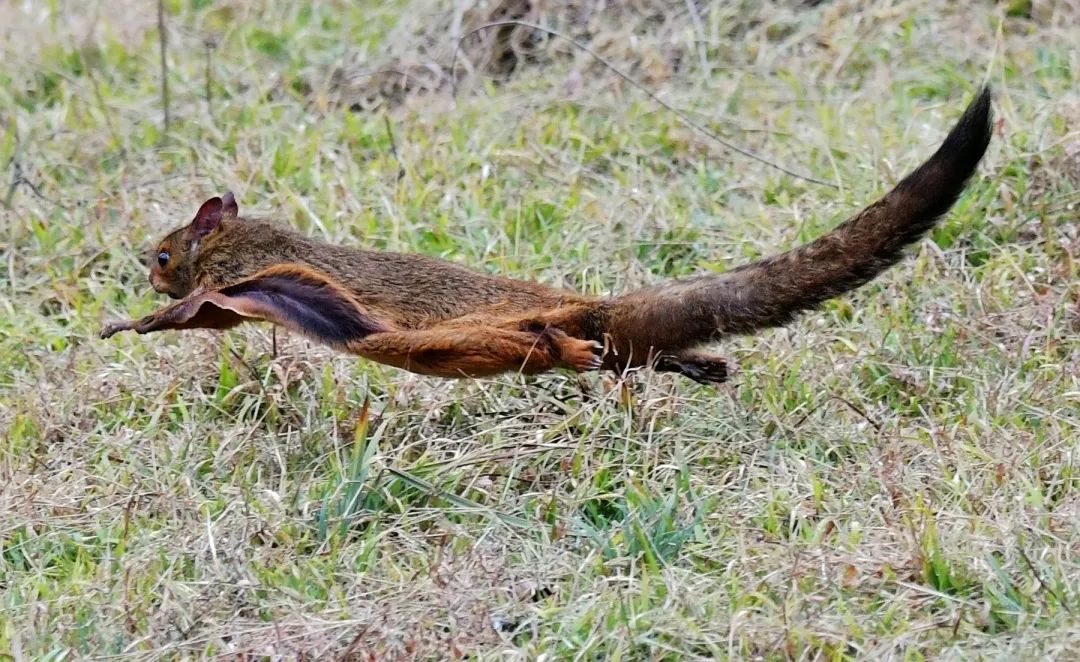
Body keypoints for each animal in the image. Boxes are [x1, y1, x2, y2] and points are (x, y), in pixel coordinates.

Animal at [103, 89, 993, 386]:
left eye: (161, 253)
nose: (144, 273)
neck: (237, 247)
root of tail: (581, 304)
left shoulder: (244, 284)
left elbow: (191, 316)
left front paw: (126, 322)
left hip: (453, 338)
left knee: (553, 346)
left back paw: (582, 354)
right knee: (641, 352)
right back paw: (693, 364)